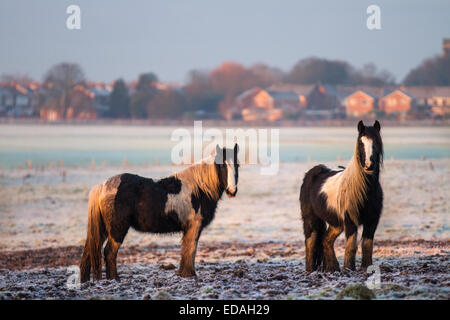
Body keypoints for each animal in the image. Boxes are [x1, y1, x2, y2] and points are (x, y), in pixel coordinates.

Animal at [79, 144, 239, 282]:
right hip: (117, 230)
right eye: (222, 165)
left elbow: (186, 251)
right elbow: (191, 250)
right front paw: (189, 274)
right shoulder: (194, 227)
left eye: (237, 165)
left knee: (88, 254)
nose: (232, 191)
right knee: (109, 252)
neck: (199, 189)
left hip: (103, 230)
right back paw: (114, 279)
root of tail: (103, 186)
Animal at [298, 121, 384, 272]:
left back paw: (332, 268)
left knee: (326, 240)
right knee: (311, 242)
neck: (365, 190)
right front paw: (349, 269)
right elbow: (351, 246)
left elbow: (367, 245)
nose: (368, 166)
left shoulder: (372, 220)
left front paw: (367, 267)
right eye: (360, 143)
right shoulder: (350, 221)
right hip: (311, 220)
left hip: (336, 223)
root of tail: (311, 173)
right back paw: (311, 270)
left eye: (377, 142)